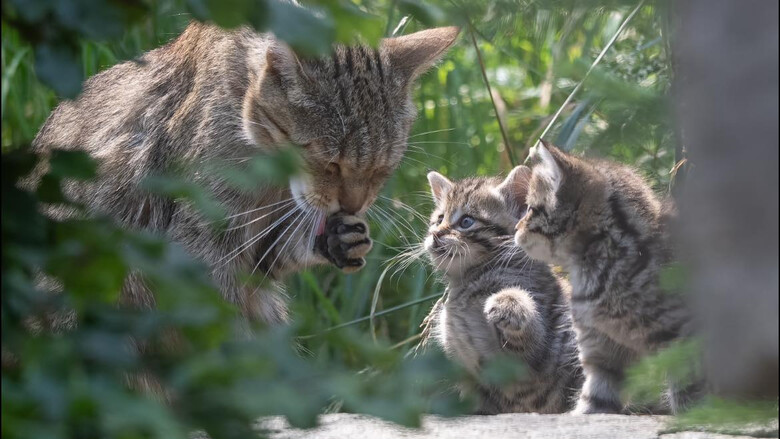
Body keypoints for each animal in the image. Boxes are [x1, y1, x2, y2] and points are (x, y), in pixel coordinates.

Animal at [29, 19, 458, 326]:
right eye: (330, 163)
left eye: (381, 170)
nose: (354, 205)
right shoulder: (198, 246)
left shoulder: (260, 245)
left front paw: (340, 239)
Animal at [418, 168, 580, 416]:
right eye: (438, 219)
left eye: (466, 221)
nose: (435, 234)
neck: (470, 279)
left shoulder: (528, 361)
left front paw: (508, 302)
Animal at [516, 142, 696, 416]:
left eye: (529, 209)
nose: (516, 227)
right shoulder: (602, 354)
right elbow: (594, 402)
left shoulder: (684, 341)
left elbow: (691, 395)